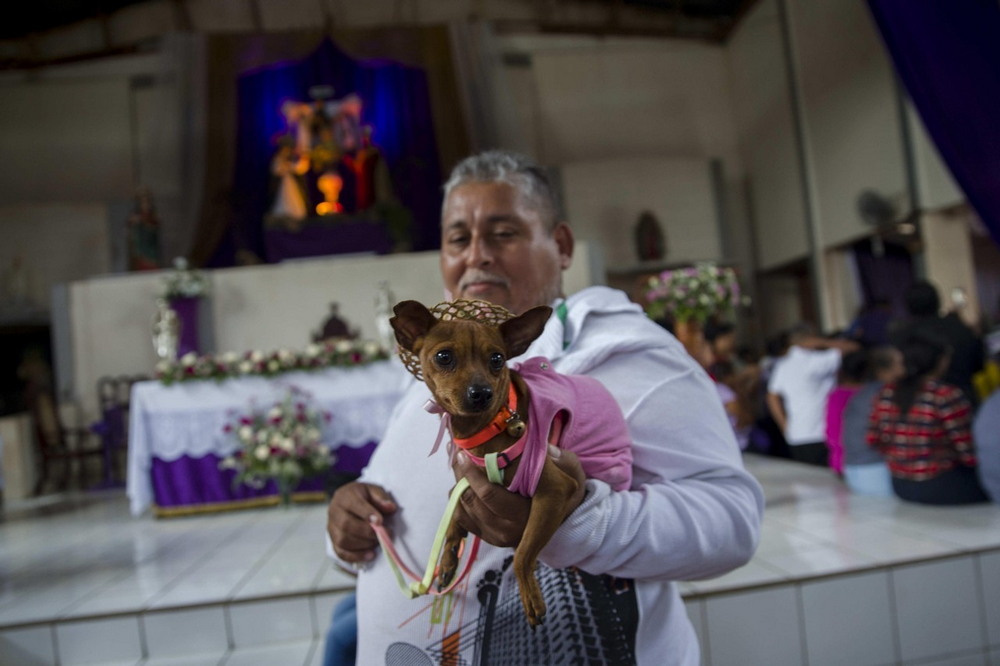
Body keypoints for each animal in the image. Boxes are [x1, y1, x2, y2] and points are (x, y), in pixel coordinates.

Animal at [390, 298, 632, 624]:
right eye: (443, 356)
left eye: (497, 359)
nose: (481, 393)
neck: (486, 430)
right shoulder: (463, 480)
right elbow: (454, 504)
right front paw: (450, 552)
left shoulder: (555, 491)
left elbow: (523, 553)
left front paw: (530, 596)